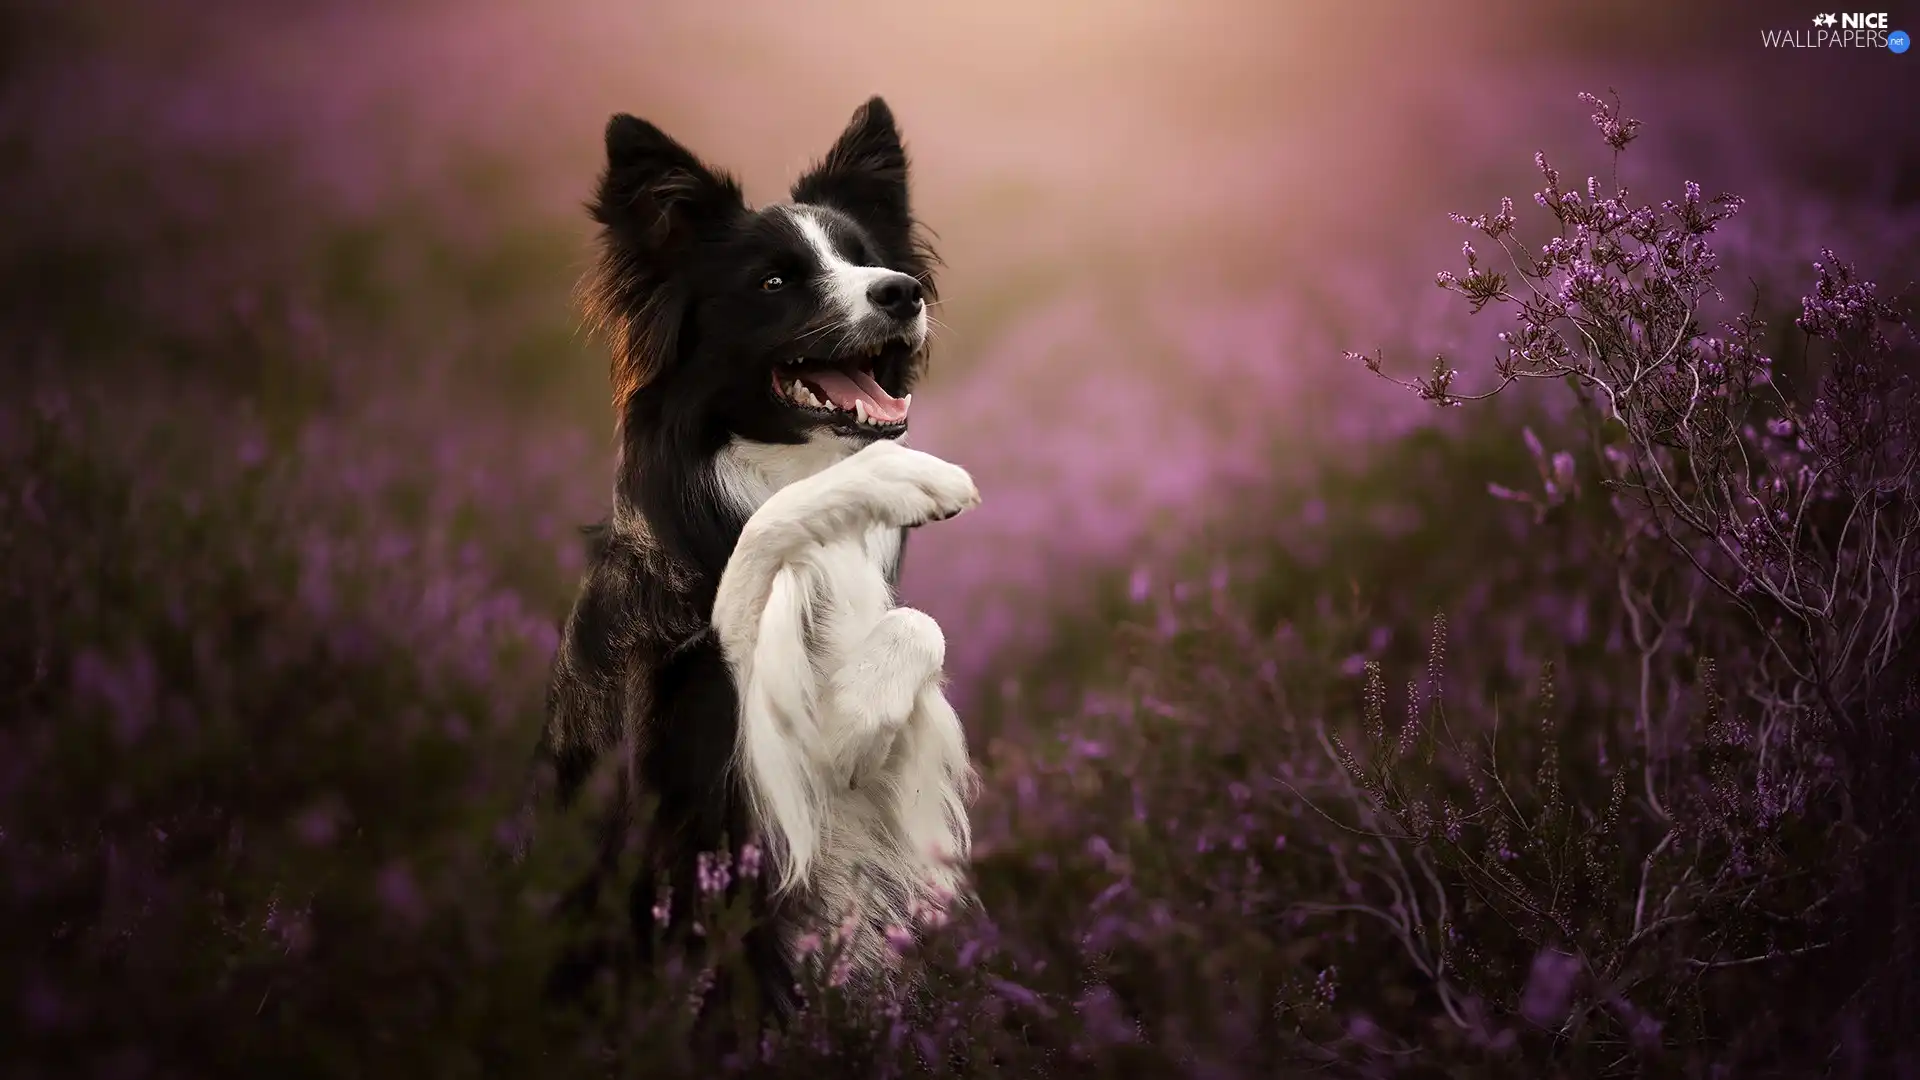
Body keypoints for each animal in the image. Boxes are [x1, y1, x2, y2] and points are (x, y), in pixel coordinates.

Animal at [529, 96, 975, 1014]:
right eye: (773, 283)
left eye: (869, 260)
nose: (902, 292)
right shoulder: (709, 784)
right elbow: (757, 561)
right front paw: (906, 475)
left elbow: (914, 628)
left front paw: (861, 716)